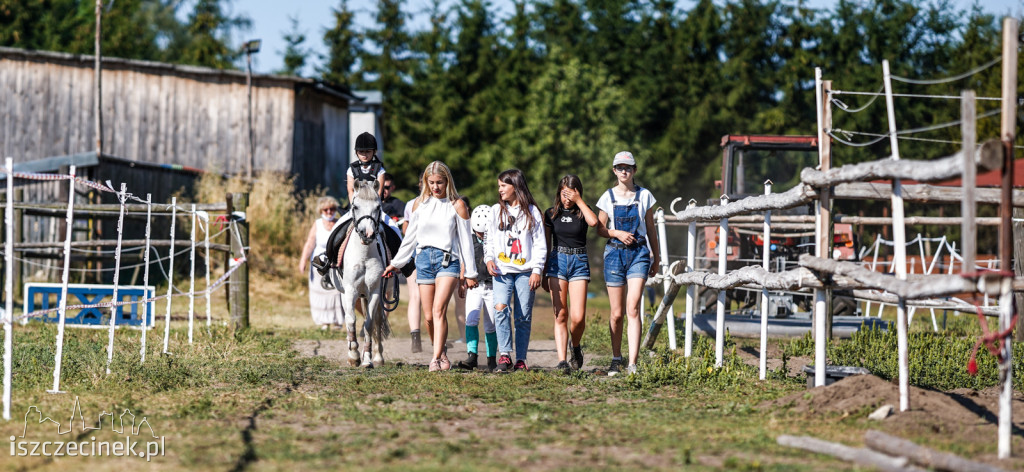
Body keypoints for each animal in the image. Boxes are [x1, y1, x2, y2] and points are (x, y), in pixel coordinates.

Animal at [327, 180, 391, 368]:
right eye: (355, 206)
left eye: (378, 207)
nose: (367, 234)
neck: (364, 255)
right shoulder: (350, 291)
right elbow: (351, 320)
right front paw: (354, 355)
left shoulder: (375, 292)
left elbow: (369, 323)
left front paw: (368, 358)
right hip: (346, 293)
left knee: (377, 319)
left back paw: (378, 356)